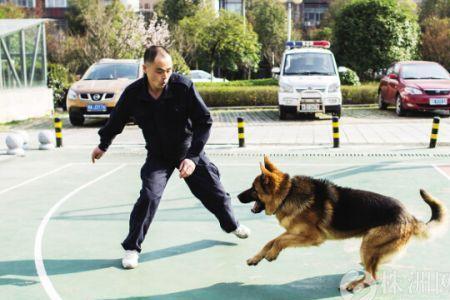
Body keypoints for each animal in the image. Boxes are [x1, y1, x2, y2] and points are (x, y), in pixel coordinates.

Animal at [239, 156, 446, 292]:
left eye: (253, 189)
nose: (237, 196)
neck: (288, 193)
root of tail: (409, 216)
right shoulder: (295, 232)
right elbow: (271, 241)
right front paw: (256, 257)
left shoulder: (312, 237)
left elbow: (279, 241)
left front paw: (272, 254)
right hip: (370, 247)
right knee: (373, 270)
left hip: (367, 245)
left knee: (372, 277)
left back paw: (355, 284)